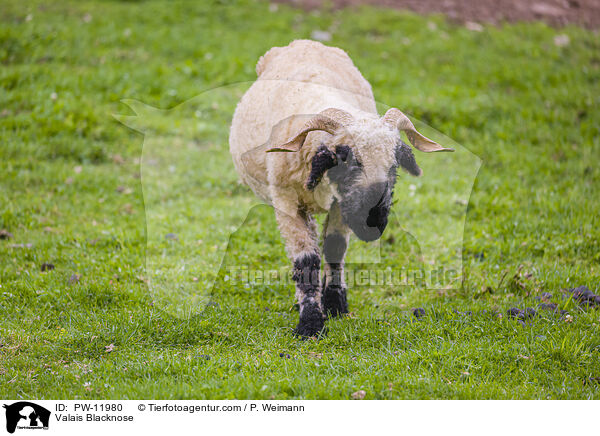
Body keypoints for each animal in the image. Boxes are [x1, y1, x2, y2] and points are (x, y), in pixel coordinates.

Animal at [229, 39, 450, 338]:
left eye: (394, 166)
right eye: (346, 159)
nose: (374, 221)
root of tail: (303, 42)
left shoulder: (340, 204)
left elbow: (334, 249)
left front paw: (335, 306)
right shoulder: (286, 199)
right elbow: (306, 259)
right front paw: (310, 323)